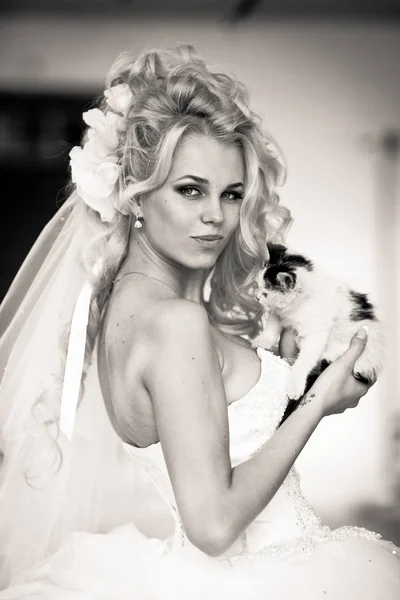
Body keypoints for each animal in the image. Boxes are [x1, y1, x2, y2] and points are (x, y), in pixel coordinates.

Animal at [253, 243, 384, 422]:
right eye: (258, 286)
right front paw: (263, 340)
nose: (257, 297)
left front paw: (295, 384)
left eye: (265, 293)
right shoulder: (279, 312)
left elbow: (306, 358)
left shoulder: (317, 333)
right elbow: (272, 326)